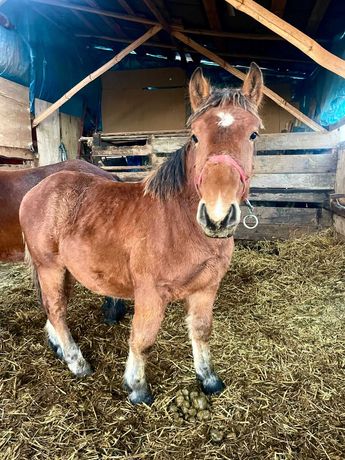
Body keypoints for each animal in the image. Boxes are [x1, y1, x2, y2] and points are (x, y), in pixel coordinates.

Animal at [20, 63, 264, 402]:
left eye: (253, 133)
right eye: (195, 136)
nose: (217, 215)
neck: (178, 224)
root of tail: (37, 190)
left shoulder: (206, 288)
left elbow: (201, 331)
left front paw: (209, 379)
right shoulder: (150, 293)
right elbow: (143, 339)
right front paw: (137, 388)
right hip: (49, 267)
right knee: (56, 309)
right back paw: (77, 362)